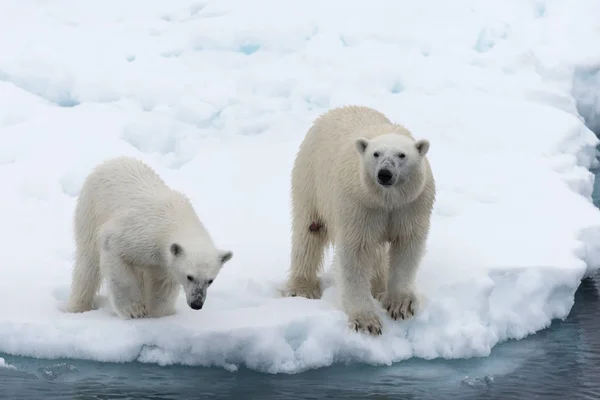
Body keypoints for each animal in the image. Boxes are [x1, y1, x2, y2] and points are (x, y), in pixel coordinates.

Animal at [66, 156, 232, 318]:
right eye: (189, 276)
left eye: (210, 280)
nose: (196, 304)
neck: (175, 219)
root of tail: (110, 161)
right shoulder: (137, 234)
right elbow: (116, 262)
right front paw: (134, 310)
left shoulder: (163, 262)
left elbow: (162, 284)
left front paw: (159, 312)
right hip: (91, 210)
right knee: (88, 263)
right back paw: (78, 306)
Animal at [286, 105, 436, 334]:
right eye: (376, 154)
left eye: (402, 155)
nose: (385, 174)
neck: (386, 200)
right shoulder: (359, 205)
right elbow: (356, 252)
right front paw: (366, 321)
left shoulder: (410, 206)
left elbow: (406, 246)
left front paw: (400, 305)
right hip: (310, 178)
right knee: (309, 231)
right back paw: (302, 288)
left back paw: (379, 287)